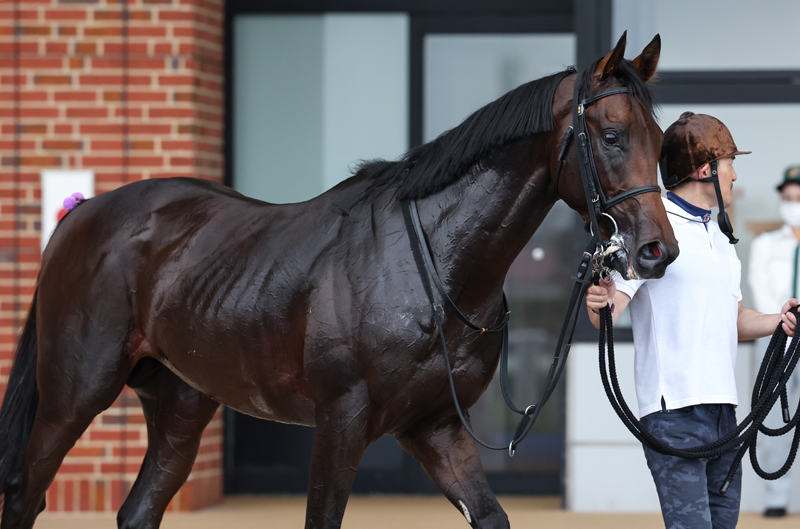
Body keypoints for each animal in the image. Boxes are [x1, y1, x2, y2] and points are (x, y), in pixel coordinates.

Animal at [0, 32, 677, 529]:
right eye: (611, 135)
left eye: (661, 138)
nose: (657, 251)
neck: (433, 267)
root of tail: (81, 214)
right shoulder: (341, 423)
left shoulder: (434, 427)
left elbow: (491, 516)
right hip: (73, 395)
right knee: (26, 495)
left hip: (181, 405)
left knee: (138, 509)